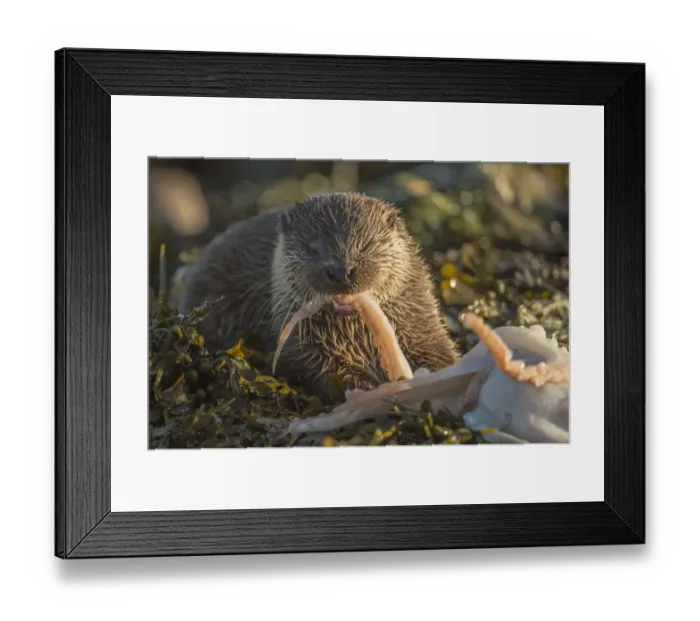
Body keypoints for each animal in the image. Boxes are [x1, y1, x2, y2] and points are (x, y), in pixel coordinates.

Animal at [179, 192, 459, 400]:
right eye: (312, 249)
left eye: (366, 245)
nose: (341, 271)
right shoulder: (301, 345)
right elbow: (323, 369)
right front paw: (366, 388)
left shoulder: (420, 320)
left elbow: (439, 353)